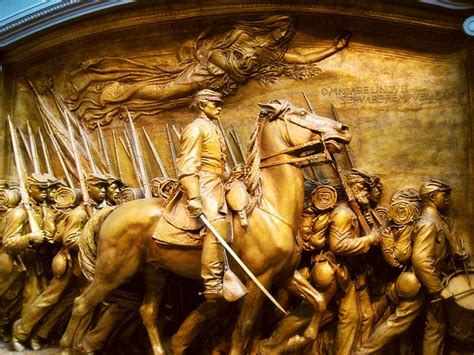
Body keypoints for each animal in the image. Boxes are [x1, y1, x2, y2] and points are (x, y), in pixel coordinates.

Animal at [59, 98, 350, 354]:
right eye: (301, 114)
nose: (343, 129)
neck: (269, 207)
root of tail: (113, 211)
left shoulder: (285, 274)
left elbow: (318, 301)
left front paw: (304, 336)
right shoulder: (259, 282)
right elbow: (243, 330)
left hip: (155, 271)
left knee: (148, 312)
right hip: (112, 271)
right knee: (82, 304)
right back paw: (65, 347)